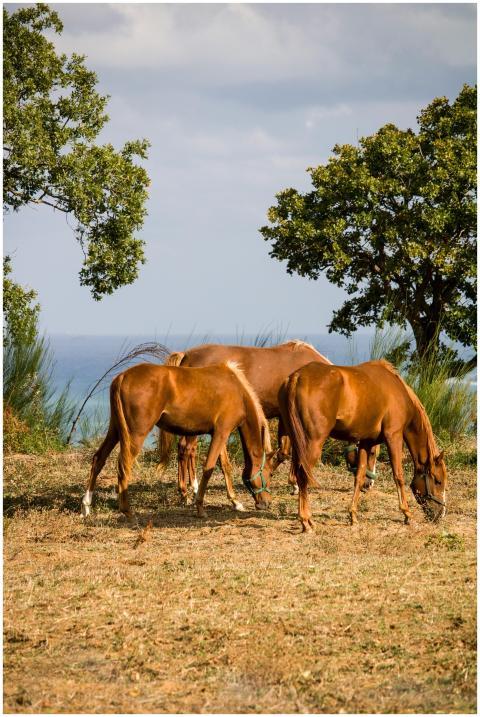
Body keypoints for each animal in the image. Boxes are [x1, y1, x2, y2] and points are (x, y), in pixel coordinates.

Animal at [81, 361, 274, 520]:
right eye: (270, 473)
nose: (266, 503)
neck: (238, 391)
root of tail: (122, 377)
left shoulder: (220, 433)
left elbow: (225, 466)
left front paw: (235, 502)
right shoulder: (222, 433)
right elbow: (208, 469)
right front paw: (200, 507)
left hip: (115, 430)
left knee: (99, 459)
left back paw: (86, 506)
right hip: (135, 434)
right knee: (123, 465)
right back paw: (127, 511)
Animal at [158, 341, 378, 503]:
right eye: (373, 453)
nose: (368, 484)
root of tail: (187, 355)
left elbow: (289, 450)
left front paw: (291, 482)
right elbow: (287, 451)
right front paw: (290, 481)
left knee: (186, 449)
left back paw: (187, 489)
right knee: (187, 449)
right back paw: (191, 490)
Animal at [279, 359, 447, 532]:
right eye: (438, 481)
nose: (441, 514)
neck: (399, 393)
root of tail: (297, 377)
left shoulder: (367, 442)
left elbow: (359, 477)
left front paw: (353, 515)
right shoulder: (394, 437)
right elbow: (398, 476)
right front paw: (407, 513)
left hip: (297, 442)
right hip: (313, 442)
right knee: (303, 476)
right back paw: (306, 520)